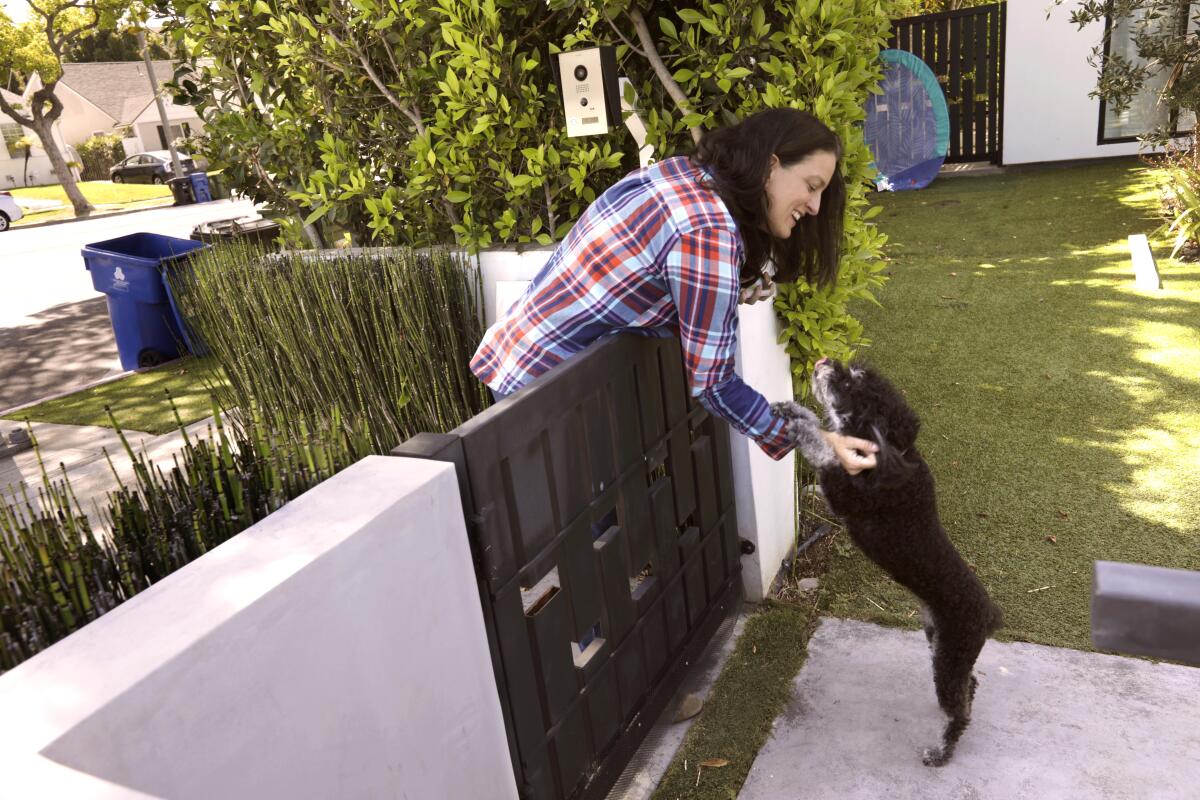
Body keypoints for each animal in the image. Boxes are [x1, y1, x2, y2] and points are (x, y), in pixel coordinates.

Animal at [772, 359, 998, 767]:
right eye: (853, 373)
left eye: (851, 385)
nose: (823, 362)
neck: (896, 449)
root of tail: (991, 616)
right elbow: (826, 436)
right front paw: (792, 410)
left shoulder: (845, 495)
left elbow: (825, 448)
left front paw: (800, 427)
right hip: (938, 642)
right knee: (970, 685)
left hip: (950, 657)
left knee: (960, 709)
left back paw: (941, 752)